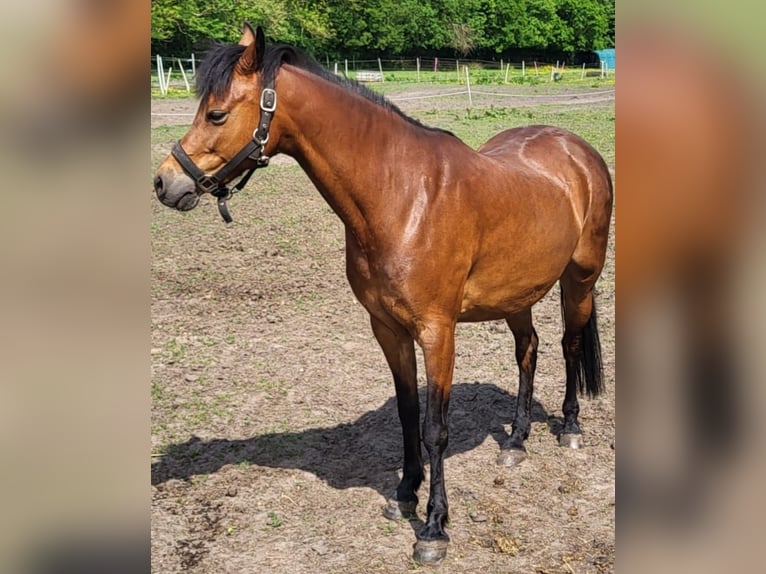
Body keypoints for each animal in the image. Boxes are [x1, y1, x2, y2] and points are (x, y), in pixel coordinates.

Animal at [153, 24, 616, 564]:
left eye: (217, 114)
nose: (165, 182)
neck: (403, 196)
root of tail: (576, 150)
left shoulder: (437, 332)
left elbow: (435, 427)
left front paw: (434, 527)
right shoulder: (387, 329)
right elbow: (407, 413)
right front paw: (404, 494)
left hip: (579, 279)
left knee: (569, 344)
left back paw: (570, 429)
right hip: (516, 294)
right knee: (529, 349)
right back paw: (517, 440)